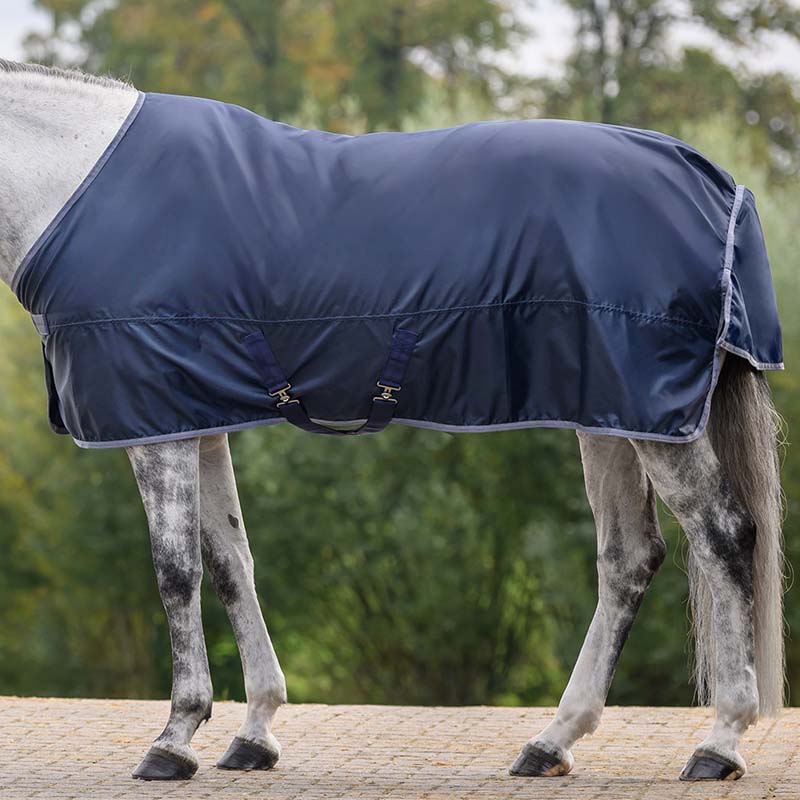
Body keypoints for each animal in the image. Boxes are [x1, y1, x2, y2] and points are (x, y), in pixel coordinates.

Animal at [0, 59, 785, 783]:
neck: (75, 180)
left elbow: (176, 570)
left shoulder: (156, 427)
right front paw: (254, 733)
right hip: (612, 414)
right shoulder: (196, 418)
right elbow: (230, 564)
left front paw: (174, 738)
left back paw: (719, 743)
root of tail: (718, 185)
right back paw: (551, 742)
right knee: (629, 557)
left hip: (653, 421)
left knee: (722, 534)